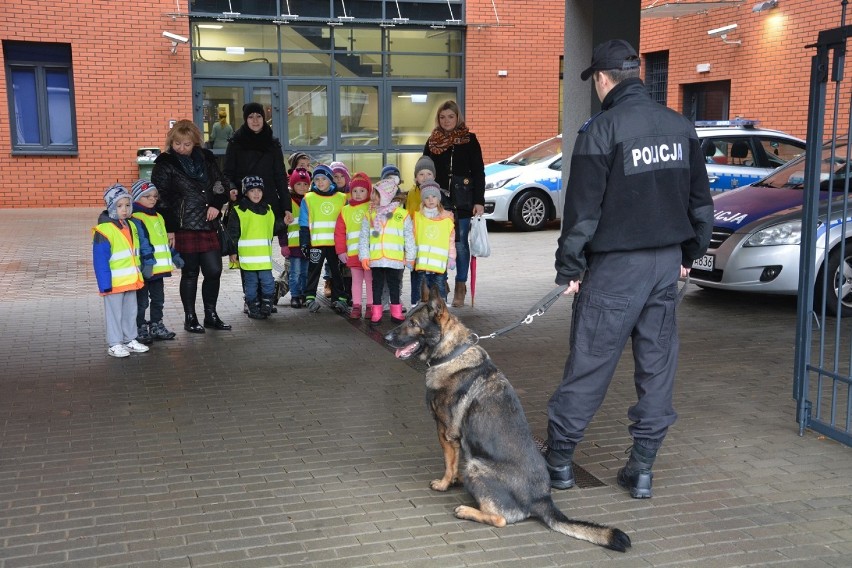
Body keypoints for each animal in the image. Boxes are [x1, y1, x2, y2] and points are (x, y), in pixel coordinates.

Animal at [382, 286, 628, 552]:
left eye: (413, 324)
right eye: (406, 318)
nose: (386, 337)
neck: (452, 353)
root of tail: (543, 499)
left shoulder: (445, 432)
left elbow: (449, 462)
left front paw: (445, 483)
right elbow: (454, 461)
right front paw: (453, 480)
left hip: (475, 466)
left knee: (499, 519)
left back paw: (466, 510)